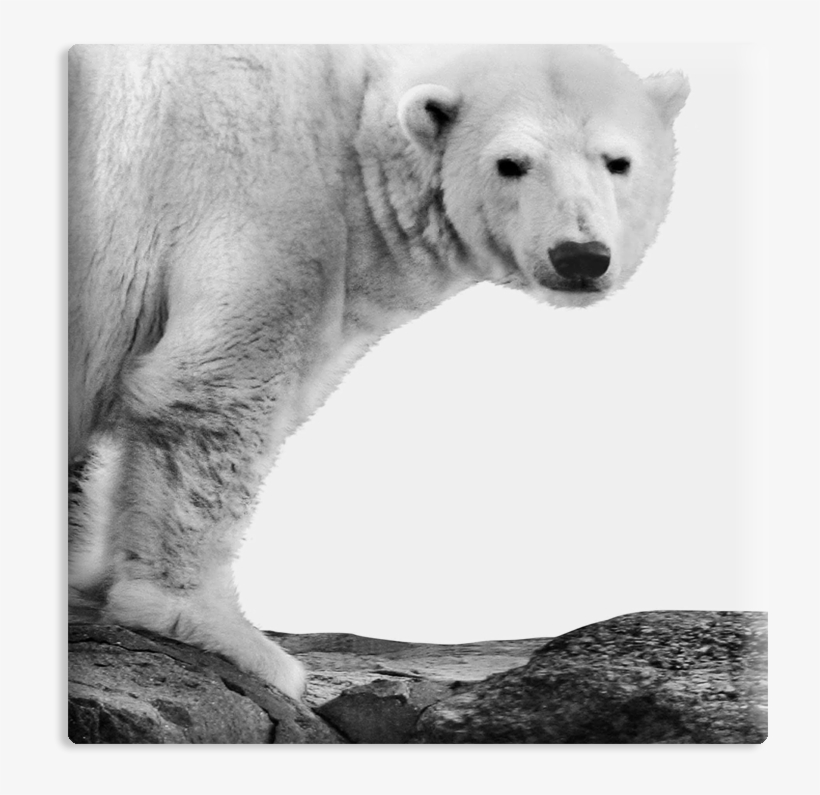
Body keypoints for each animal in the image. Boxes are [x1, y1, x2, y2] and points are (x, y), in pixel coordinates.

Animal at [68, 44, 689, 701]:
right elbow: (214, 390)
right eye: (511, 163)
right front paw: (225, 633)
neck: (348, 120)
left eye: (617, 161)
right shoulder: (261, 204)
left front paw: (96, 578)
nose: (580, 256)